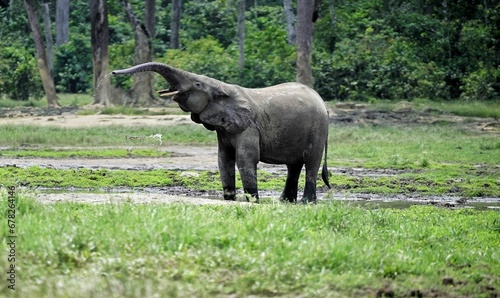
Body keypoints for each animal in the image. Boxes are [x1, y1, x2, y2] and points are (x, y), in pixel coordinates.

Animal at [114, 62, 332, 203]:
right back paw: (285, 201)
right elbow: (223, 159)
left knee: (311, 163)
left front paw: (253, 201)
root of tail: (324, 104)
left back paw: (307, 202)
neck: (222, 87)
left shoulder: (248, 126)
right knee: (293, 166)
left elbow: (245, 159)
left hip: (318, 128)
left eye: (197, 84)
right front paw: (229, 200)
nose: (113, 72)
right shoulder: (224, 129)